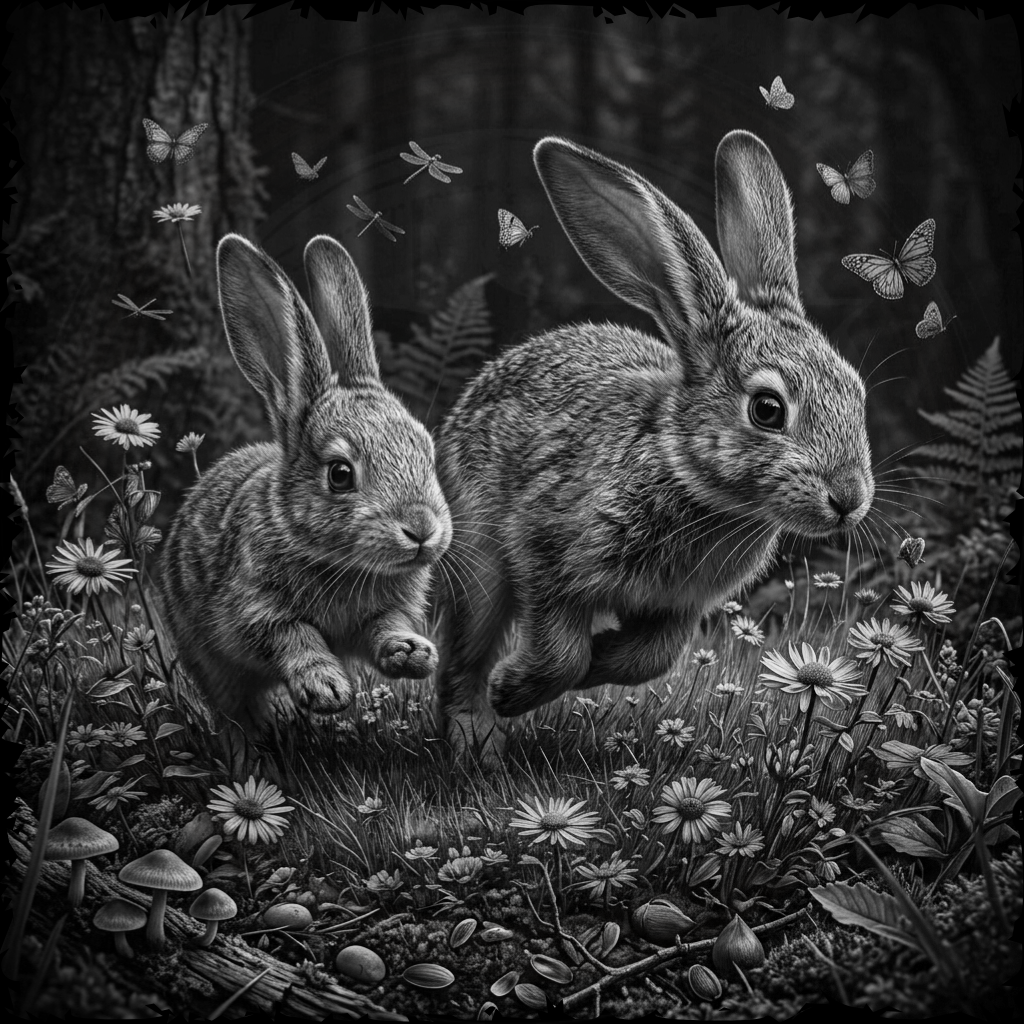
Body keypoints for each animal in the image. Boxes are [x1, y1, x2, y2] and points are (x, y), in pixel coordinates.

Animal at [160, 233, 452, 742]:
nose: (421, 530)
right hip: (207, 660)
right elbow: (296, 637)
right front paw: (326, 688)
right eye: (340, 474)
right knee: (234, 710)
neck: (341, 562)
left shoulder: (383, 610)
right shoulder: (256, 609)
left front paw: (413, 653)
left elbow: (384, 627)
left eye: (426, 451)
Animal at [434, 130, 875, 760]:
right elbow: (561, 652)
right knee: (463, 654)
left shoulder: (678, 606)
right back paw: (478, 736)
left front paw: (599, 660)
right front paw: (511, 691)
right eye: (767, 410)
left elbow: (649, 660)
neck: (689, 474)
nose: (848, 500)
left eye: (857, 393)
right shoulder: (541, 546)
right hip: (477, 559)